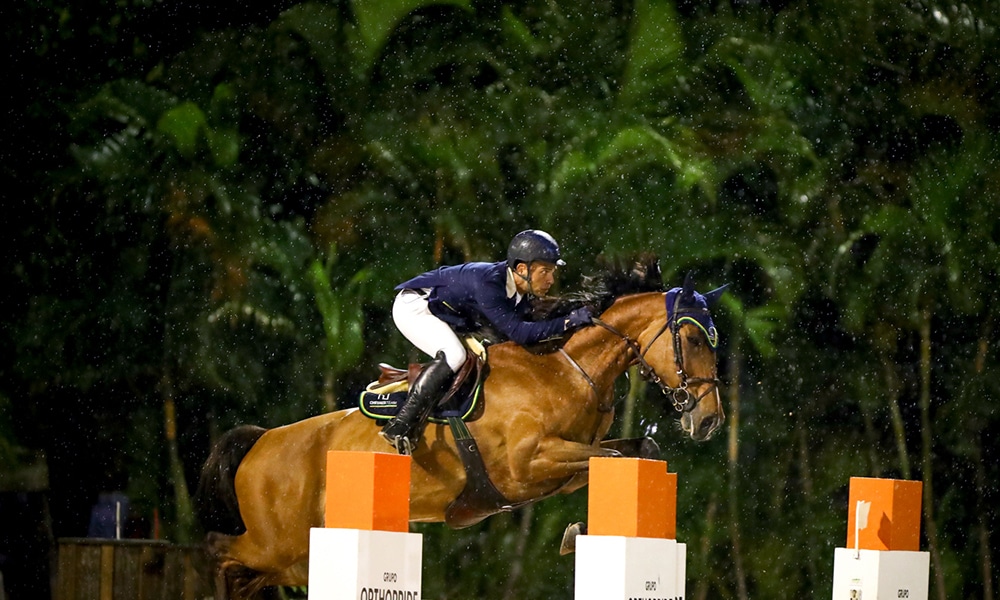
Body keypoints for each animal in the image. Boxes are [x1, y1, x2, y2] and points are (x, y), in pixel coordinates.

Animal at [197, 255, 728, 596]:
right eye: (692, 339)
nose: (709, 421)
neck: (567, 370)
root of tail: (262, 441)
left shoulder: (564, 459)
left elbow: (634, 453)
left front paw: (580, 532)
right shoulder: (527, 466)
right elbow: (611, 456)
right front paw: (576, 533)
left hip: (293, 561)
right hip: (275, 545)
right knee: (219, 552)